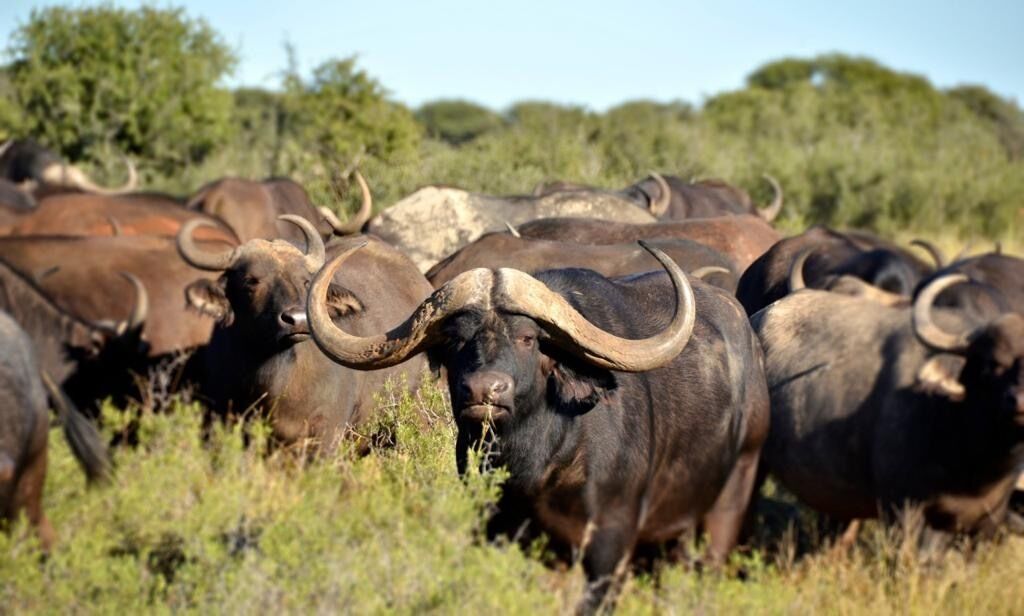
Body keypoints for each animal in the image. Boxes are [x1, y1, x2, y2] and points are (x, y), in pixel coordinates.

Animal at [306, 243, 769, 612]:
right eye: (456, 339)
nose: (484, 390)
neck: (543, 461)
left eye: (528, 338)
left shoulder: (609, 545)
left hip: (727, 504)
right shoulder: (502, 534)